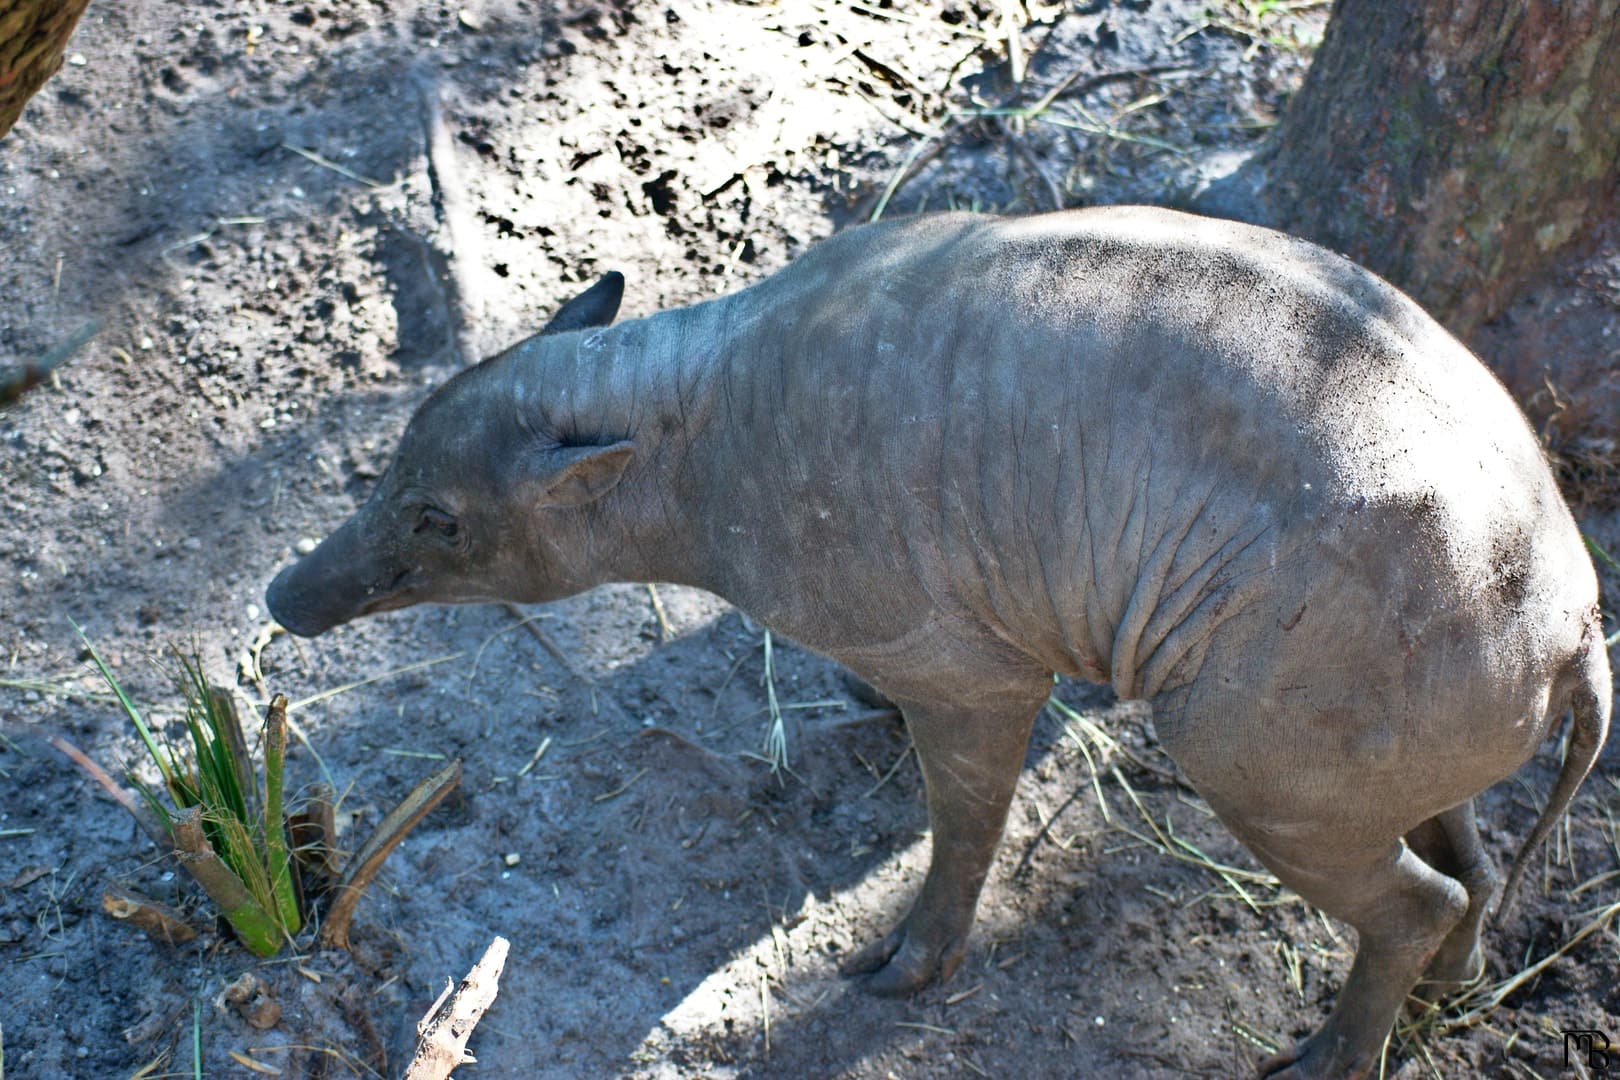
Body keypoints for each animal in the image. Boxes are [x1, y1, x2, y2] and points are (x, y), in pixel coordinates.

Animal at [265, 207, 1607, 1075]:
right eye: (392, 462)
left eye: (438, 520)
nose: (282, 597)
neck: (689, 428)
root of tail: (1579, 637)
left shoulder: (970, 672)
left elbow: (963, 823)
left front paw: (898, 972)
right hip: (1383, 748)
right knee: (1471, 862)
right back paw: (1454, 988)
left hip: (1266, 761)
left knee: (1417, 898)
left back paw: (1330, 1057)